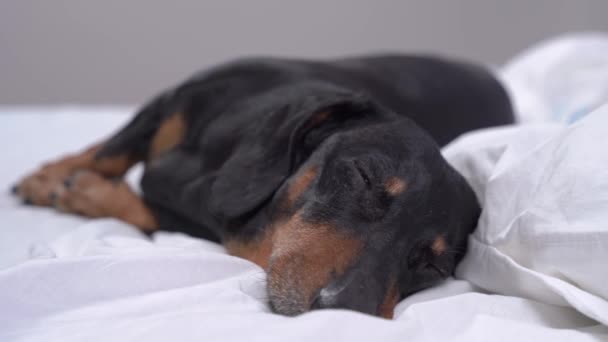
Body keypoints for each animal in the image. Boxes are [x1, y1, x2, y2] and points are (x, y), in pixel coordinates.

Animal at [11, 54, 512, 320]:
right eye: (363, 175)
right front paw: (49, 179)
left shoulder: (199, 222)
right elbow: (108, 152)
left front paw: (83, 192)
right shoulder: (168, 105)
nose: (345, 309)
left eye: (433, 266)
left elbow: (144, 205)